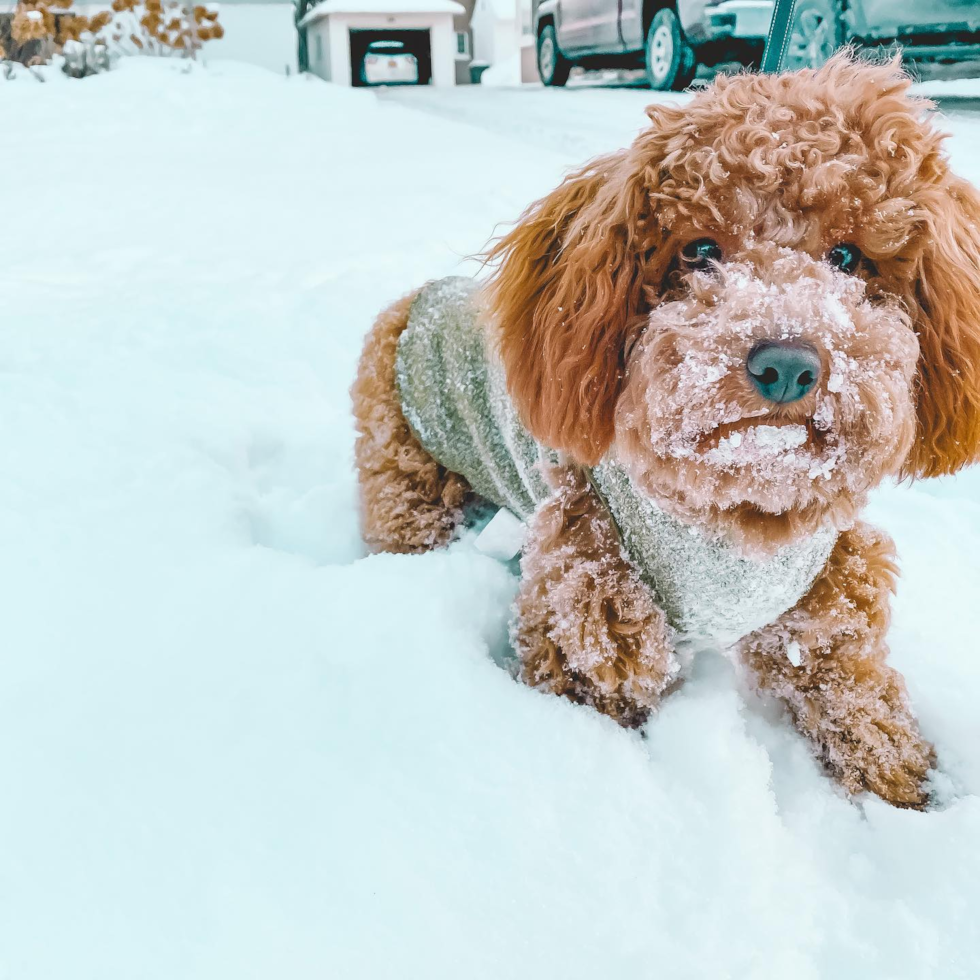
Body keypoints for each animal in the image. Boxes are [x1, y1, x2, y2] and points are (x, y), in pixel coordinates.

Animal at [352, 57, 980, 816]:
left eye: (848, 258)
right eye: (700, 251)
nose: (788, 365)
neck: (735, 515)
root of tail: (416, 300)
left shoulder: (827, 612)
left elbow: (863, 707)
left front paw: (908, 793)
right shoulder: (591, 623)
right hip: (408, 476)